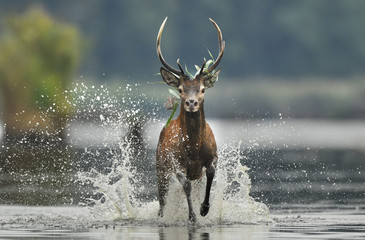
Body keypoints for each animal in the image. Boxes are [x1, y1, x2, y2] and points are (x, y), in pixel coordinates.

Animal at [154, 16, 223, 223]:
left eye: (202, 89)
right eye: (180, 89)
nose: (191, 103)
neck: (194, 149)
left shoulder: (213, 155)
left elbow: (210, 174)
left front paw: (204, 209)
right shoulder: (177, 163)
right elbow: (186, 186)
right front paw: (192, 215)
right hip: (160, 166)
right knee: (162, 197)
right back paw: (161, 216)